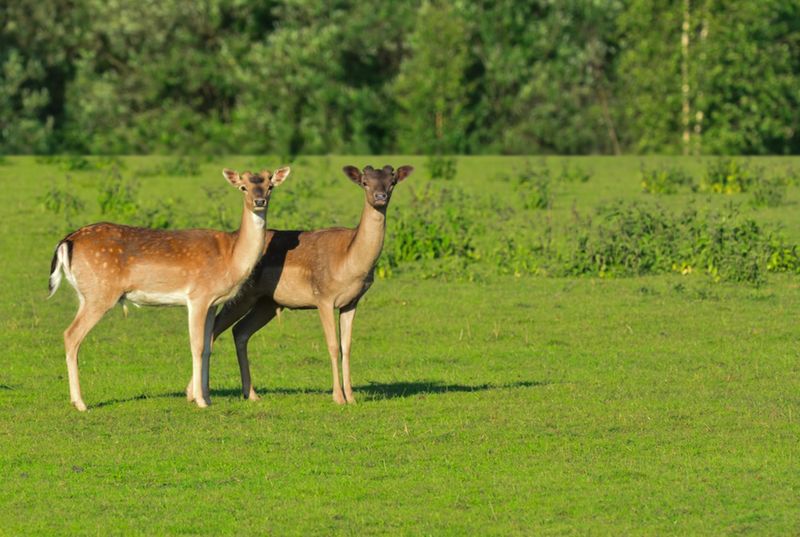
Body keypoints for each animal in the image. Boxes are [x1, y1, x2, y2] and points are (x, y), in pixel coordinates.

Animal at [47, 168, 290, 410]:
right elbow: (197, 345)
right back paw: (80, 403)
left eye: (270, 186)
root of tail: (66, 241)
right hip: (100, 293)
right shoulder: (198, 296)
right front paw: (200, 400)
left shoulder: (213, 303)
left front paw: (207, 397)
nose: (259, 201)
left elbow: (208, 346)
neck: (231, 258)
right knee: (71, 335)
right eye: (243, 187)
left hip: (85, 294)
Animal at [188, 162, 412, 402]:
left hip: (267, 303)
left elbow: (347, 346)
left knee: (240, 331)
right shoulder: (323, 297)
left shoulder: (352, 302)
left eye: (392, 182)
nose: (380, 197)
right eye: (364, 182)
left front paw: (351, 397)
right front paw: (338, 397)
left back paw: (251, 394)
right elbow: (333, 345)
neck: (350, 263)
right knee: (214, 329)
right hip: (241, 295)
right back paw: (194, 393)